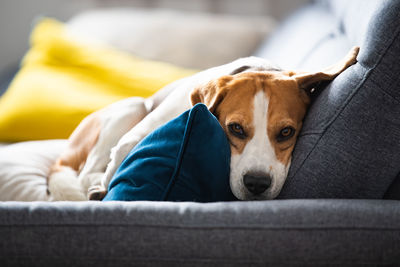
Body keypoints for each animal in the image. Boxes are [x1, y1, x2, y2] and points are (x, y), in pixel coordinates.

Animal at [47, 46, 360, 201]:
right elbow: (118, 161)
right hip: (132, 108)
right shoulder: (131, 138)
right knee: (85, 172)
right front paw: (104, 187)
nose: (257, 184)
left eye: (286, 132)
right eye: (235, 128)